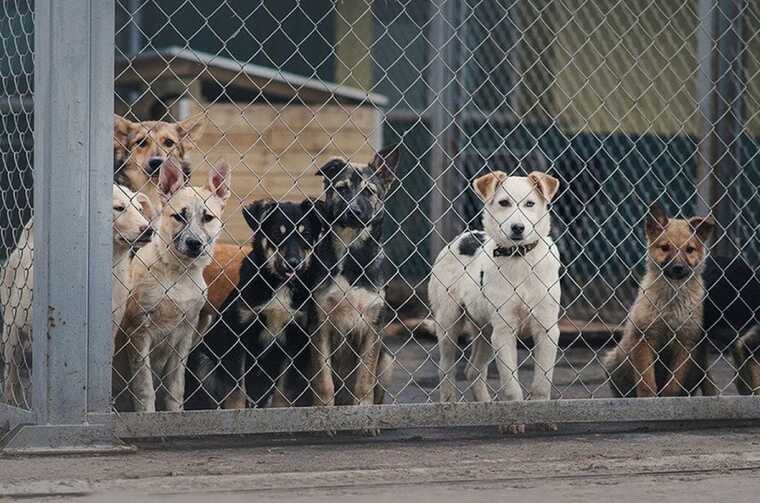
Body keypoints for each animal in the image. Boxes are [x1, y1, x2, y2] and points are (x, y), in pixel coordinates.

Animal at [1, 185, 154, 410]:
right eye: (118, 208)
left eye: (140, 210)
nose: (148, 229)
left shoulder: (108, 331)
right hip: (11, 328)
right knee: (11, 370)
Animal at [114, 158, 230, 414]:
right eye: (179, 217)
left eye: (208, 218)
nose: (194, 243)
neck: (178, 274)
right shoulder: (139, 332)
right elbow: (145, 387)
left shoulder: (185, 335)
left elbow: (176, 388)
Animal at [430, 171, 560, 432]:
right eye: (503, 203)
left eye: (530, 203)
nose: (518, 227)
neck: (520, 259)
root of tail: (465, 235)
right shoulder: (504, 331)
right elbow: (510, 384)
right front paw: (514, 420)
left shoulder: (548, 329)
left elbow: (542, 381)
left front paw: (543, 415)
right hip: (449, 323)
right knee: (446, 368)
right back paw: (449, 407)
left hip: (485, 331)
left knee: (473, 370)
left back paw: (487, 407)